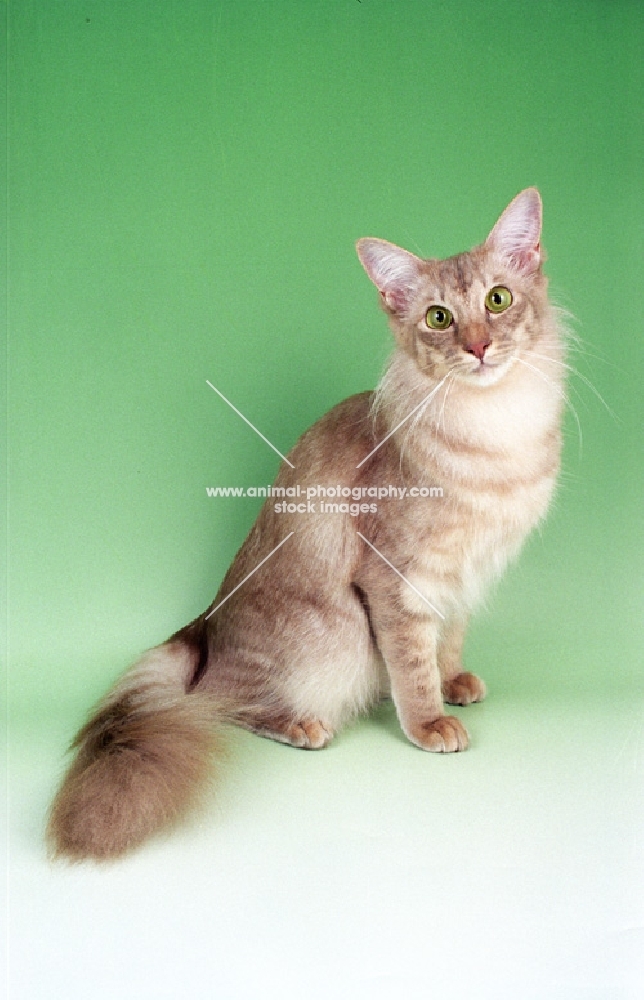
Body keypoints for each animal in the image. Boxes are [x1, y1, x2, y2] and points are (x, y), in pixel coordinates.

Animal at [46, 189, 564, 860]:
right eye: (439, 318)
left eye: (497, 301)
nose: (477, 347)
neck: (496, 432)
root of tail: (203, 625)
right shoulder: (396, 579)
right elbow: (412, 663)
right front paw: (428, 721)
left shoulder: (463, 577)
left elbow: (445, 640)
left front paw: (453, 681)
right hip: (331, 640)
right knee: (214, 703)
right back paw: (300, 723)